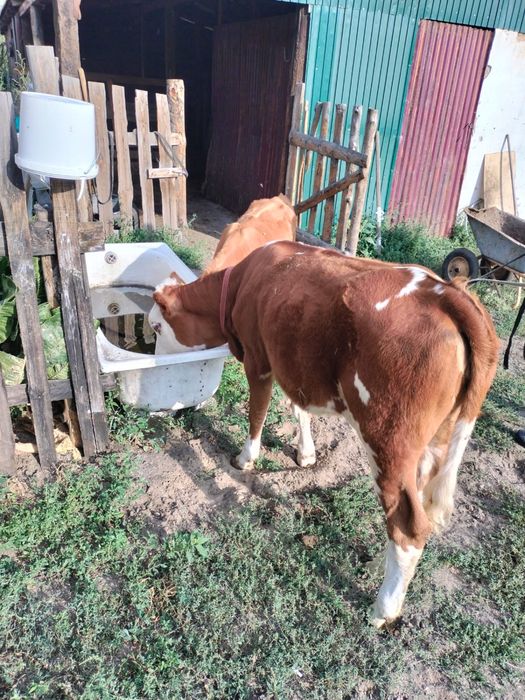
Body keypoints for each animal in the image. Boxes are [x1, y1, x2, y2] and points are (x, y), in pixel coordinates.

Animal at [149, 240, 499, 627]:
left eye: (156, 327)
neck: (244, 282)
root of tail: (446, 293)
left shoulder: (259, 360)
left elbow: (257, 413)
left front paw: (245, 458)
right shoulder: (292, 364)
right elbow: (298, 408)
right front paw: (305, 453)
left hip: (388, 439)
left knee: (409, 524)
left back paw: (383, 609)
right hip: (434, 441)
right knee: (415, 506)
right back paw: (379, 567)